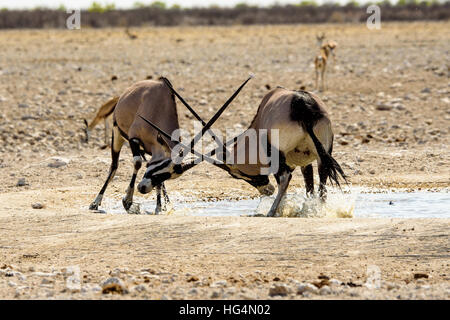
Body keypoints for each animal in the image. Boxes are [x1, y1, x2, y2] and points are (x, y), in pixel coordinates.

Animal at [139, 87, 346, 216]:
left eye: (236, 174)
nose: (267, 190)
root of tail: (302, 104)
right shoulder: (306, 161)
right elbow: (310, 185)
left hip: (281, 156)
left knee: (285, 179)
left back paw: (271, 212)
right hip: (322, 154)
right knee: (322, 180)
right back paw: (320, 209)